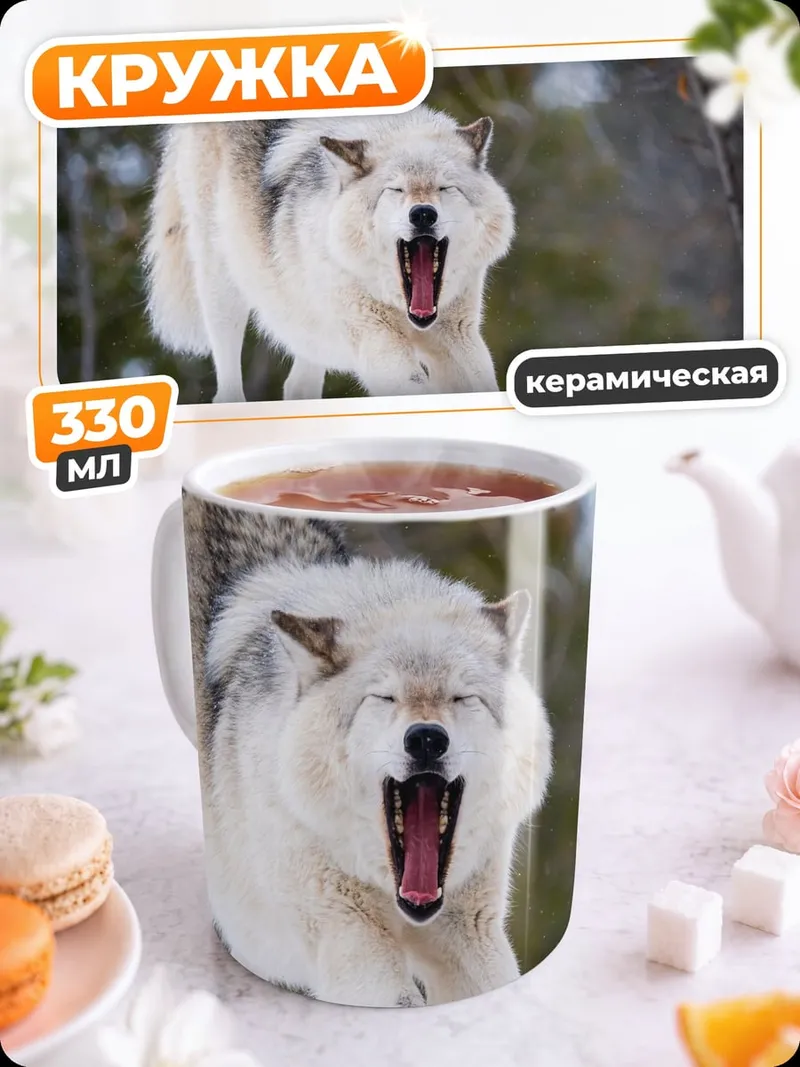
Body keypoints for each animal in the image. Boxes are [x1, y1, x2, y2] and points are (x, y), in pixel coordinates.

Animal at [143, 106, 515, 403]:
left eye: (445, 187)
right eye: (395, 189)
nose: (423, 214)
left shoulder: (459, 336)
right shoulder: (377, 338)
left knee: (297, 384)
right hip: (223, 286)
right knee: (227, 385)